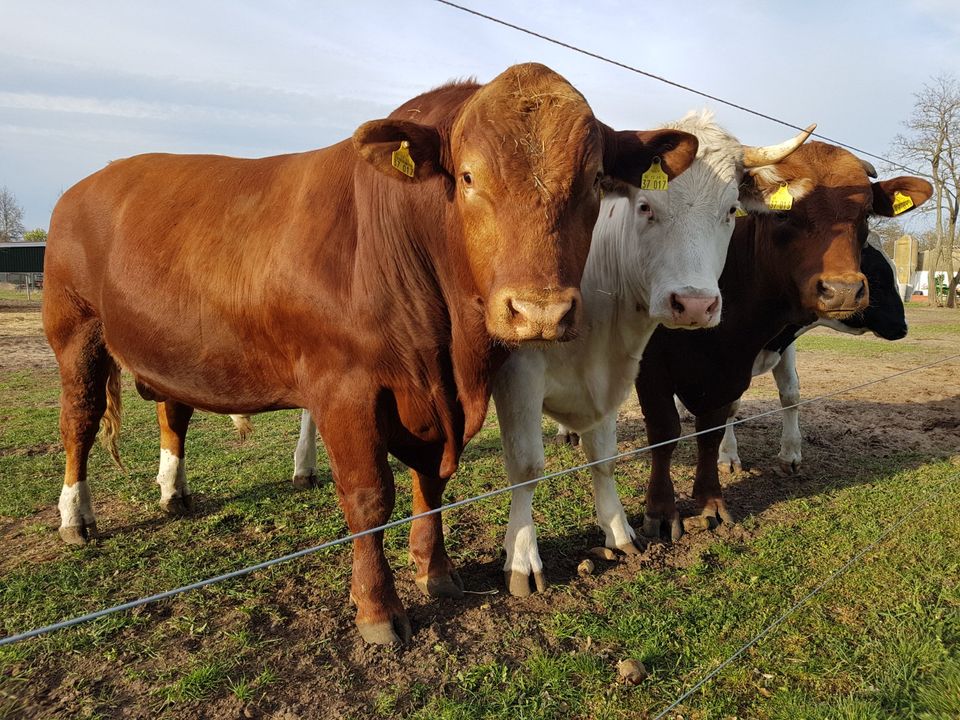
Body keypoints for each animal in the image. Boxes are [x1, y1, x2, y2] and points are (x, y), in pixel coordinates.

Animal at [41, 62, 696, 644]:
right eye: (467, 177)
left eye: (594, 180)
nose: (538, 312)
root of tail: (88, 182)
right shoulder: (344, 388)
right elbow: (368, 497)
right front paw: (379, 610)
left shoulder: (436, 398)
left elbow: (431, 482)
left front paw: (437, 572)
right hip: (74, 332)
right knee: (78, 422)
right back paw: (76, 518)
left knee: (172, 411)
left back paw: (173, 492)